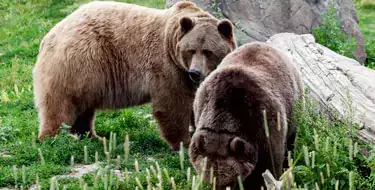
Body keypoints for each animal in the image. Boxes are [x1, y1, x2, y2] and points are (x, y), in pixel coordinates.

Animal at [33, 0, 236, 151]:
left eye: (208, 51)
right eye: (190, 50)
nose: (195, 72)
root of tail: (49, 35)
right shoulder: (168, 67)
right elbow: (173, 104)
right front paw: (183, 144)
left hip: (87, 75)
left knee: (84, 109)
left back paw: (93, 137)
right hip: (77, 61)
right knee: (60, 106)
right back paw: (54, 139)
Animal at [189, 41, 304, 189]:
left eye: (231, 182)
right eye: (210, 181)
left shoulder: (264, 123)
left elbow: (270, 165)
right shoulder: (201, 107)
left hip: (294, 108)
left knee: (290, 142)